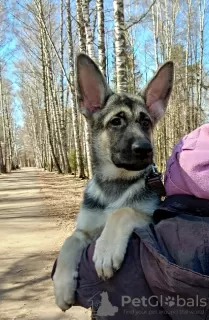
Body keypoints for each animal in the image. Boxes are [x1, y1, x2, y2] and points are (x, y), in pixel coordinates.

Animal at [53, 54, 174, 310]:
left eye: (146, 122)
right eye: (116, 122)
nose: (145, 150)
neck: (115, 184)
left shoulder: (150, 217)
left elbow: (123, 211)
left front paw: (106, 249)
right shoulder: (84, 230)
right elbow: (69, 241)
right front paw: (62, 285)